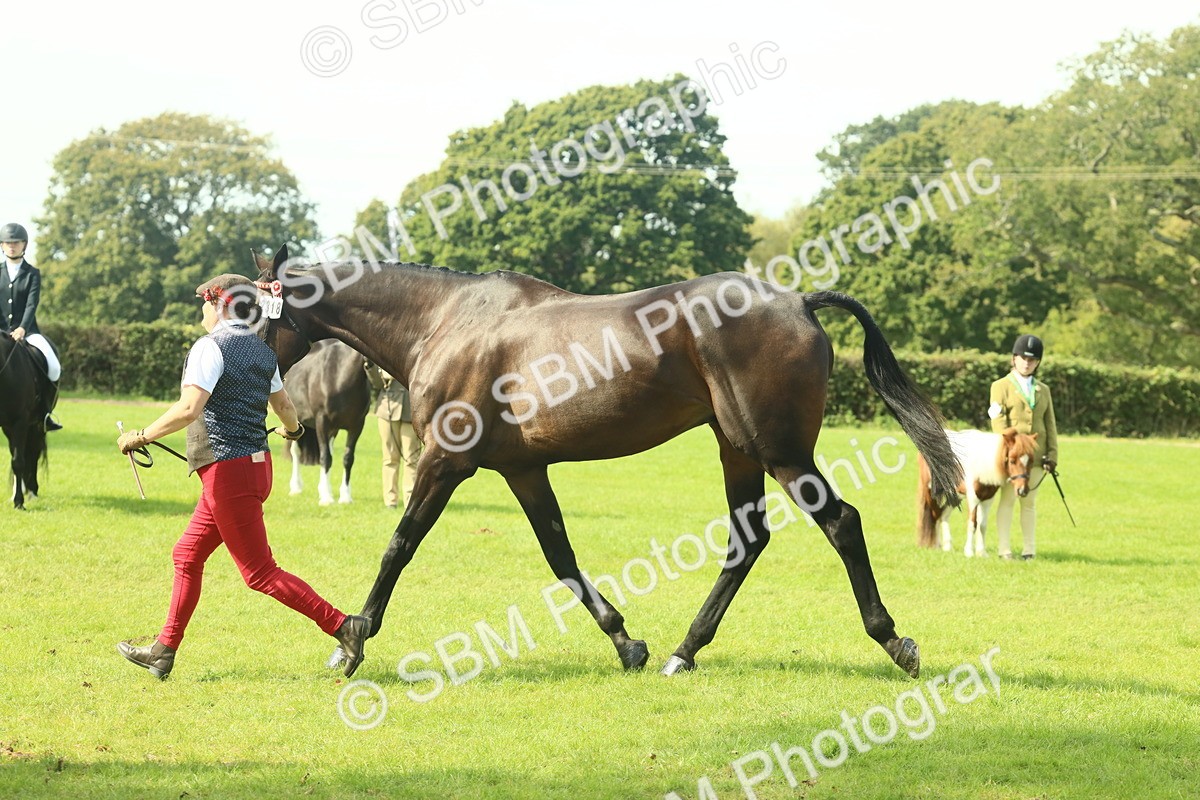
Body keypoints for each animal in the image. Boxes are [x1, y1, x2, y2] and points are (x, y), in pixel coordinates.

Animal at [0, 333, 49, 509]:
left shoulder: (20, 422)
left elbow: (19, 462)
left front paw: (19, 502)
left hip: (36, 425)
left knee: (32, 453)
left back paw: (32, 491)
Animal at [280, 340, 371, 505]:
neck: (340, 377)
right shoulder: (322, 423)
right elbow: (325, 458)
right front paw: (326, 497)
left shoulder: (356, 426)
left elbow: (347, 459)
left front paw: (345, 496)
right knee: (296, 452)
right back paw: (296, 487)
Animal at [916, 427, 1038, 557]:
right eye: (1012, 461)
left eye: (1031, 461)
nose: (1022, 490)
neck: (981, 464)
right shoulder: (973, 498)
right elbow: (972, 524)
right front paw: (969, 552)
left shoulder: (987, 499)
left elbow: (982, 525)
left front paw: (982, 553)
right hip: (931, 492)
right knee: (935, 515)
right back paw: (936, 546)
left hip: (955, 495)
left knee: (943, 515)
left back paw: (947, 547)